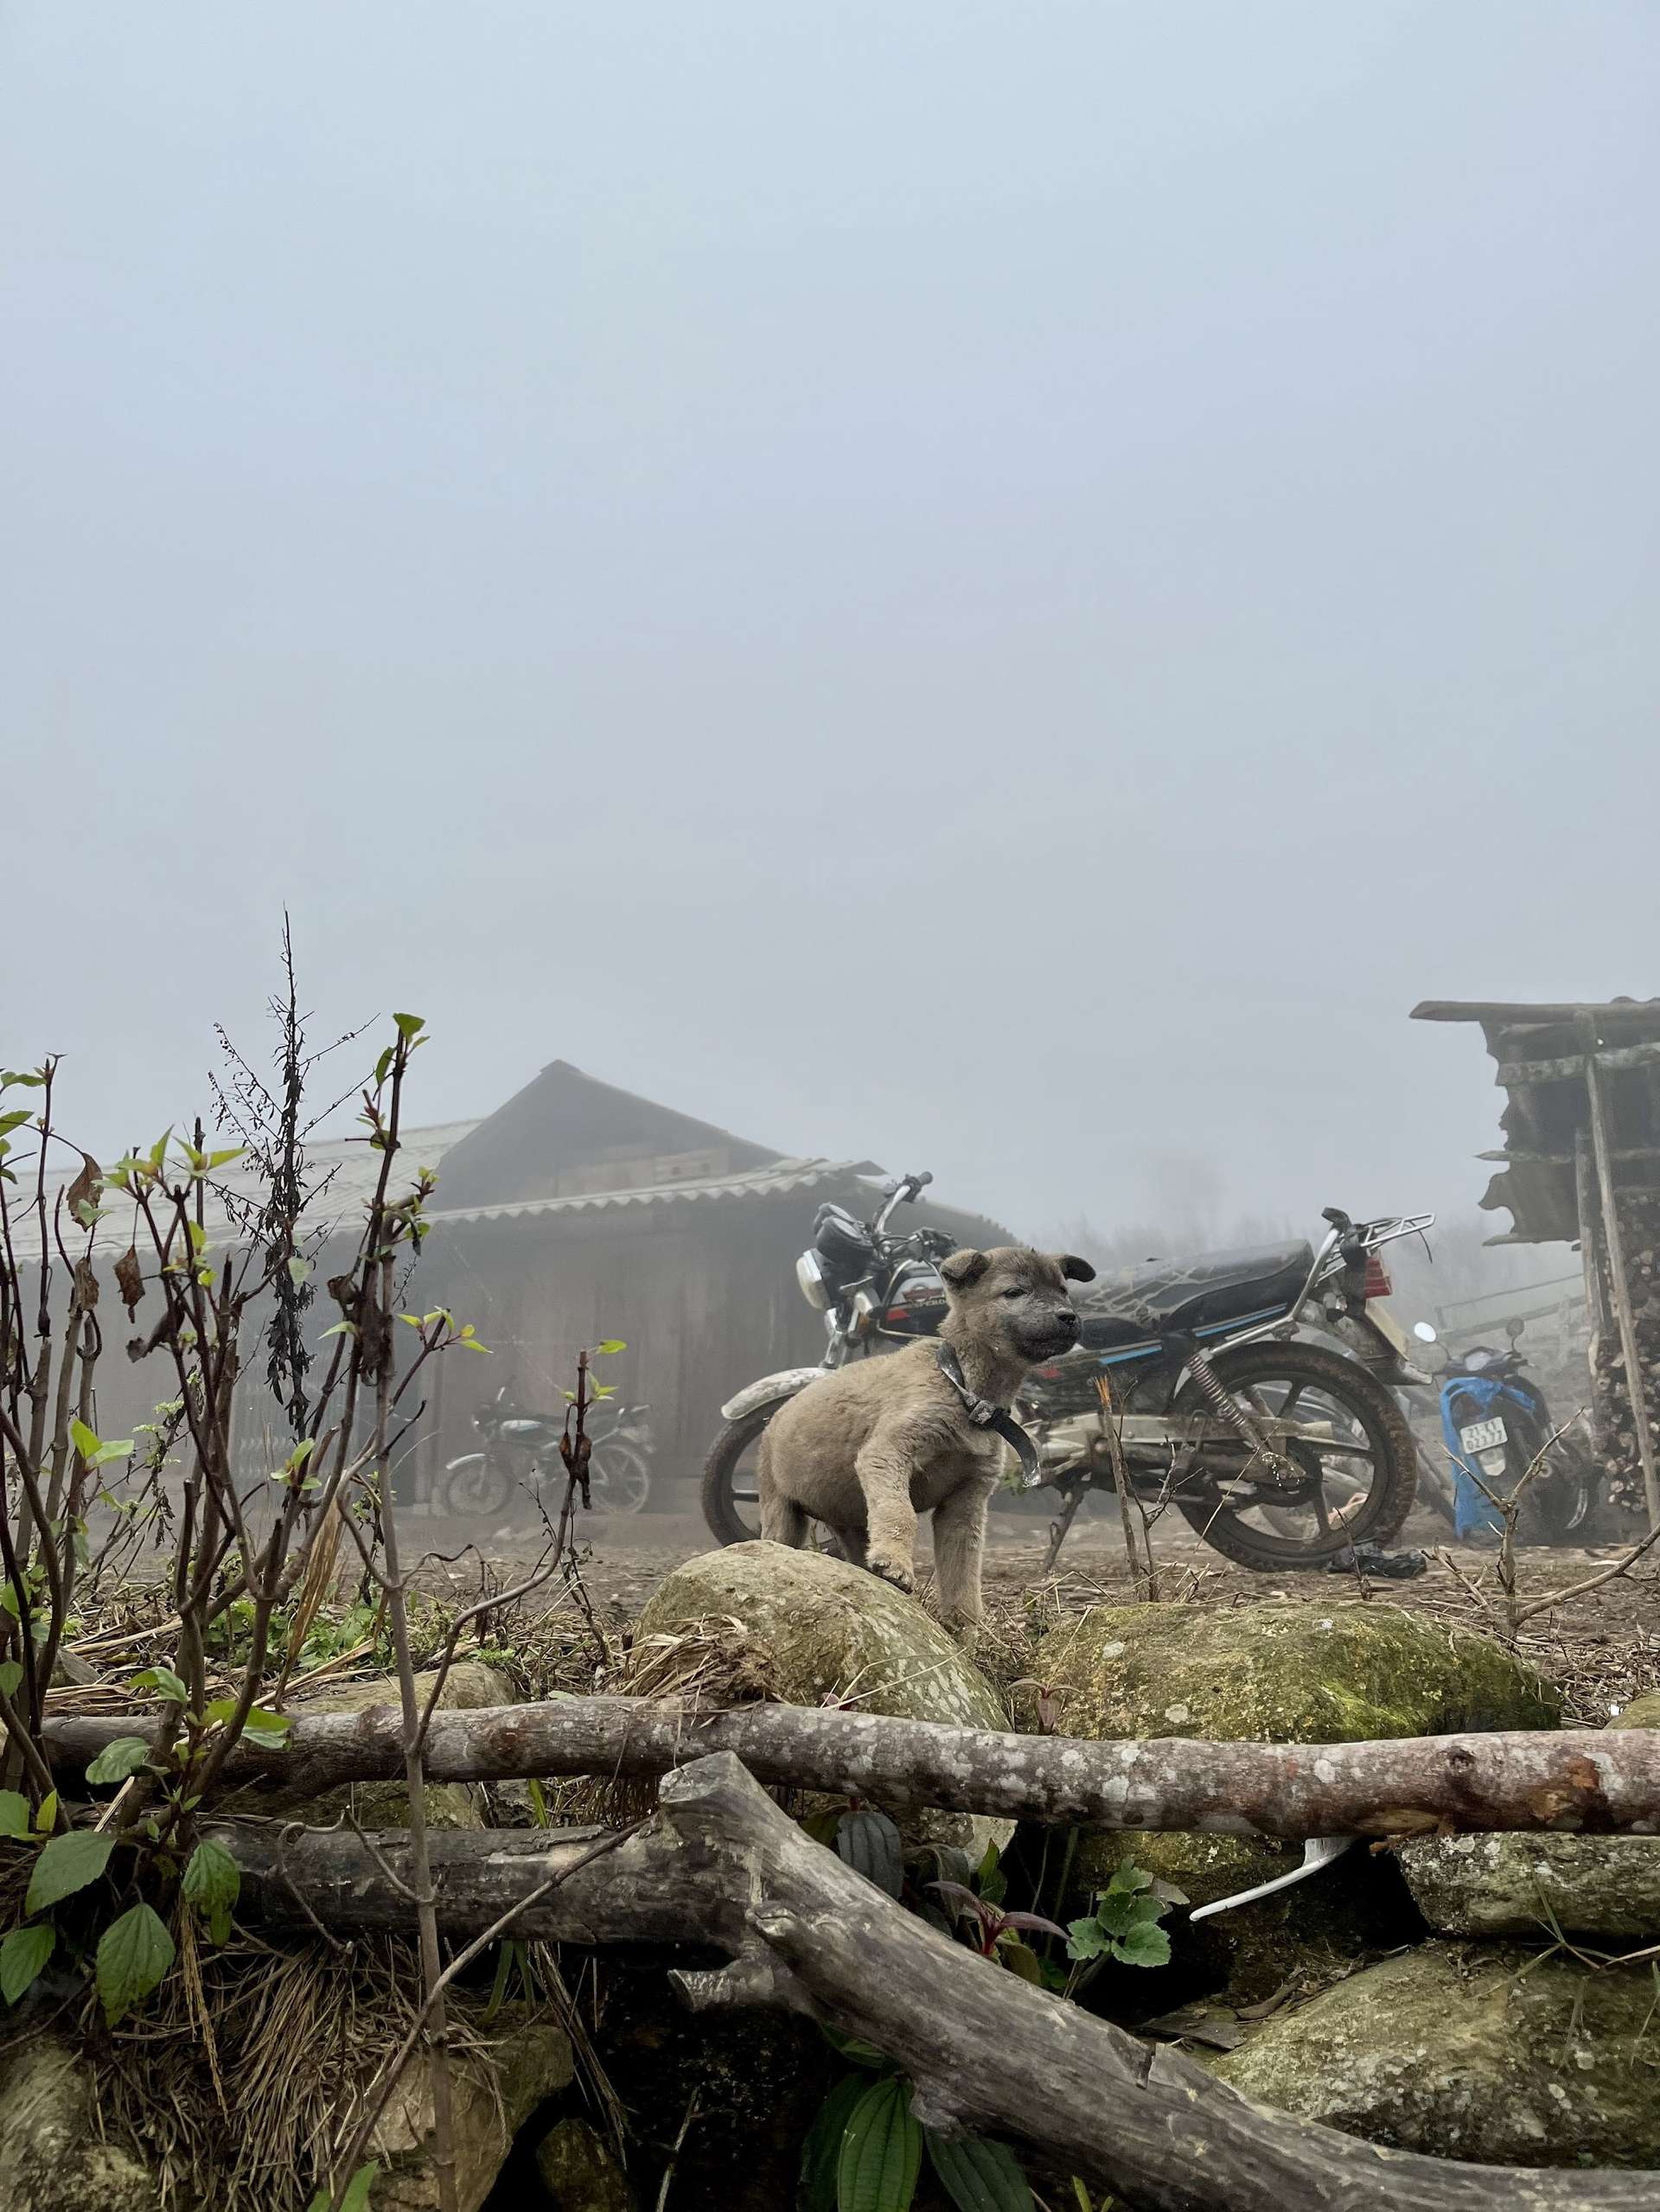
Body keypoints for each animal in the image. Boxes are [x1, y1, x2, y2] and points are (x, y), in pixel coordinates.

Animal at [752, 1247, 1093, 1645]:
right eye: (1014, 1292)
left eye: (1063, 1290)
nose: (1069, 1317)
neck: (967, 1392)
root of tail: (775, 1419)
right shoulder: (888, 1452)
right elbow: (899, 1512)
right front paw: (895, 1565)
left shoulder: (966, 1500)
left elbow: (963, 1569)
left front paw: (966, 1633)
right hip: (781, 1511)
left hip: (850, 1522)